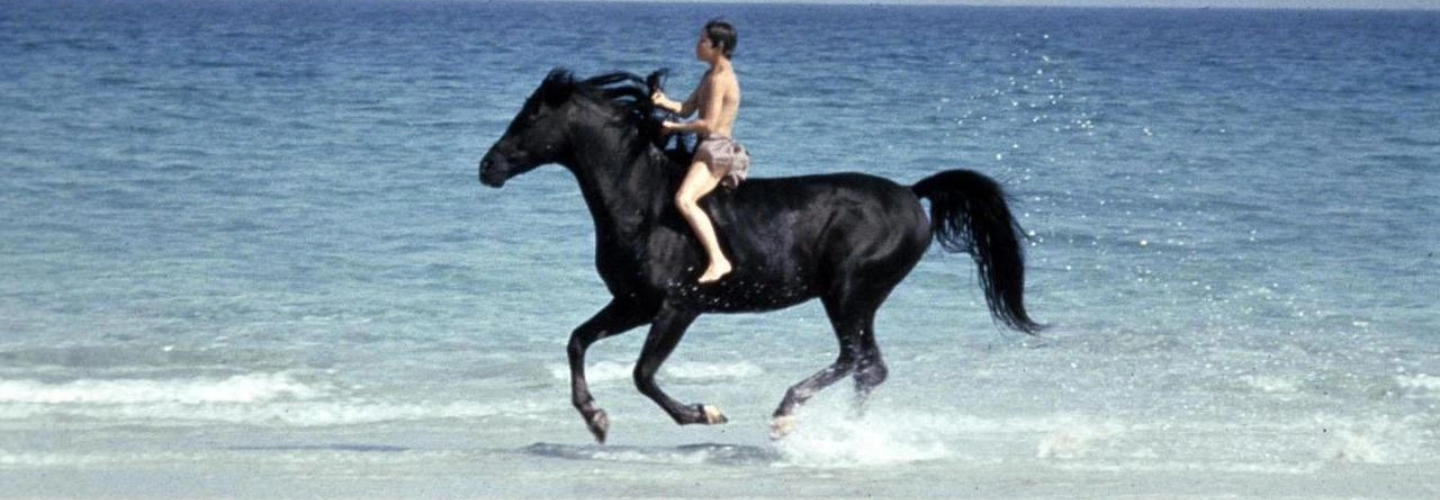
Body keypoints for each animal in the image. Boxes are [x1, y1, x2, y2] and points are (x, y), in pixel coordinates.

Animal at [478, 68, 1042, 443]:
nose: (487, 168)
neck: (644, 201)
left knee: (857, 359)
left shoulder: (678, 306)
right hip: (854, 299)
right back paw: (846, 431)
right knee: (869, 367)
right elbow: (577, 341)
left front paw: (705, 413)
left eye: (530, 117)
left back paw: (787, 414)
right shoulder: (633, 303)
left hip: (850, 292)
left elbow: (643, 374)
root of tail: (911, 193)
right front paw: (596, 419)